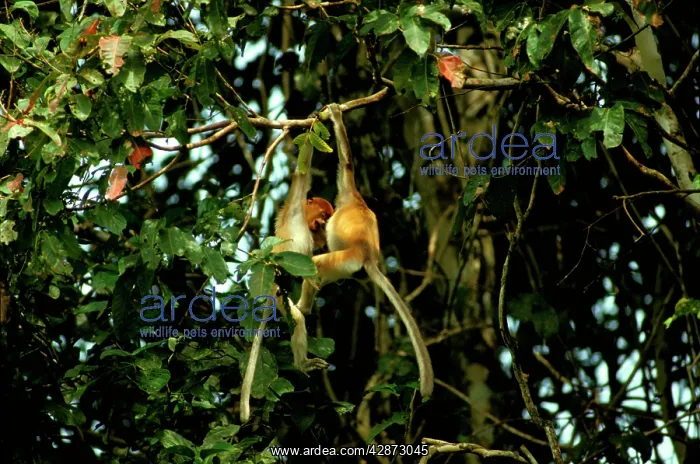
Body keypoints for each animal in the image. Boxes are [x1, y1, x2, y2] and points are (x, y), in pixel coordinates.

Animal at [240, 145, 334, 423]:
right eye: (322, 214)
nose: (321, 224)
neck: (303, 220)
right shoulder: (294, 207)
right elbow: (302, 174)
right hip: (279, 293)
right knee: (297, 318)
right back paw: (303, 363)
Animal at [291, 103, 434, 398]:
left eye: (322, 218)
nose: (319, 225)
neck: (352, 202)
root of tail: (368, 257)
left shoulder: (347, 190)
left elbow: (346, 163)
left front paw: (335, 115)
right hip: (346, 267)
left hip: (344, 259)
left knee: (317, 264)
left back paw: (301, 309)